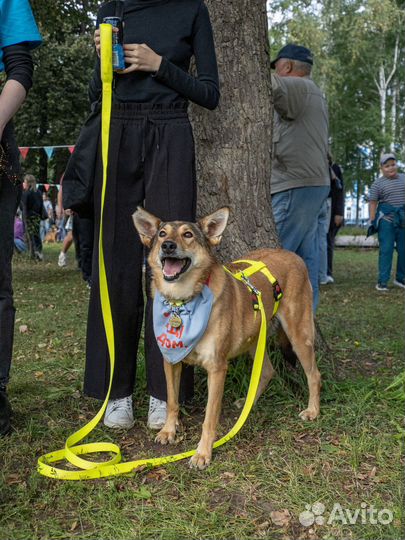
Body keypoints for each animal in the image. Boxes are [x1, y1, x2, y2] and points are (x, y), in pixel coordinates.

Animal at [134, 207, 320, 468]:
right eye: (162, 234)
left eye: (188, 234)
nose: (168, 245)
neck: (183, 301)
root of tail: (293, 255)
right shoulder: (171, 360)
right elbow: (172, 401)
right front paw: (169, 431)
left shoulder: (217, 368)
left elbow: (209, 417)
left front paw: (203, 452)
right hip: (252, 338)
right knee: (268, 371)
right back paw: (247, 403)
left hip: (298, 334)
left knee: (314, 374)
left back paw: (313, 411)